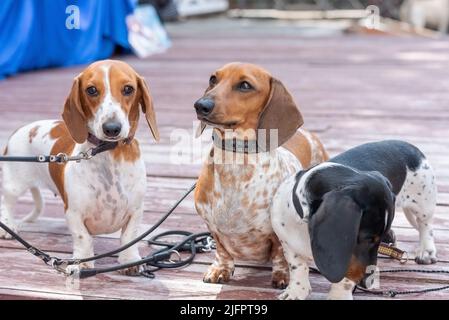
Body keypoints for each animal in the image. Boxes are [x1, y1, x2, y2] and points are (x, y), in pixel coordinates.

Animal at [0, 59, 159, 272]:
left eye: (128, 89)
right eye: (91, 90)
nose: (112, 128)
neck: (107, 152)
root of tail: (22, 128)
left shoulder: (135, 209)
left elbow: (129, 237)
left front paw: (130, 260)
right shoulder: (74, 212)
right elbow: (83, 238)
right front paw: (82, 262)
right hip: (14, 185)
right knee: (7, 203)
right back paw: (8, 225)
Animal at [192, 62, 326, 288]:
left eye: (245, 85)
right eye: (213, 79)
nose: (200, 105)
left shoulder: (280, 233)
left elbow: (280, 254)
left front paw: (283, 276)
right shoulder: (212, 227)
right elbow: (222, 250)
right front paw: (220, 269)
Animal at [272, 141, 436, 300]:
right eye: (368, 239)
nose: (369, 283)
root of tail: (410, 147)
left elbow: (345, 278)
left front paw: (338, 296)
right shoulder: (288, 243)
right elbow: (298, 267)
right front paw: (296, 292)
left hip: (424, 203)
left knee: (426, 225)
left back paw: (426, 251)